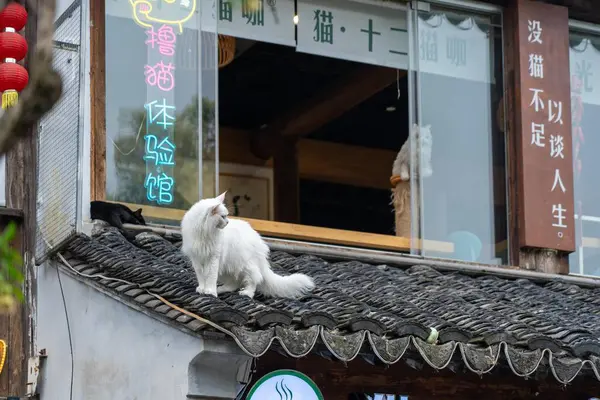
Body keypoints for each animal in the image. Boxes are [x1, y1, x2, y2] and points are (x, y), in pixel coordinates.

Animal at [180, 192, 316, 298]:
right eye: (223, 217)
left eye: (226, 216)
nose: (227, 222)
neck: (204, 233)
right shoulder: (196, 259)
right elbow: (201, 276)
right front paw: (202, 289)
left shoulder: (213, 258)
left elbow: (210, 276)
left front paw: (210, 292)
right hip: (229, 266)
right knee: (234, 283)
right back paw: (222, 289)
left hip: (246, 265)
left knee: (254, 279)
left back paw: (246, 293)